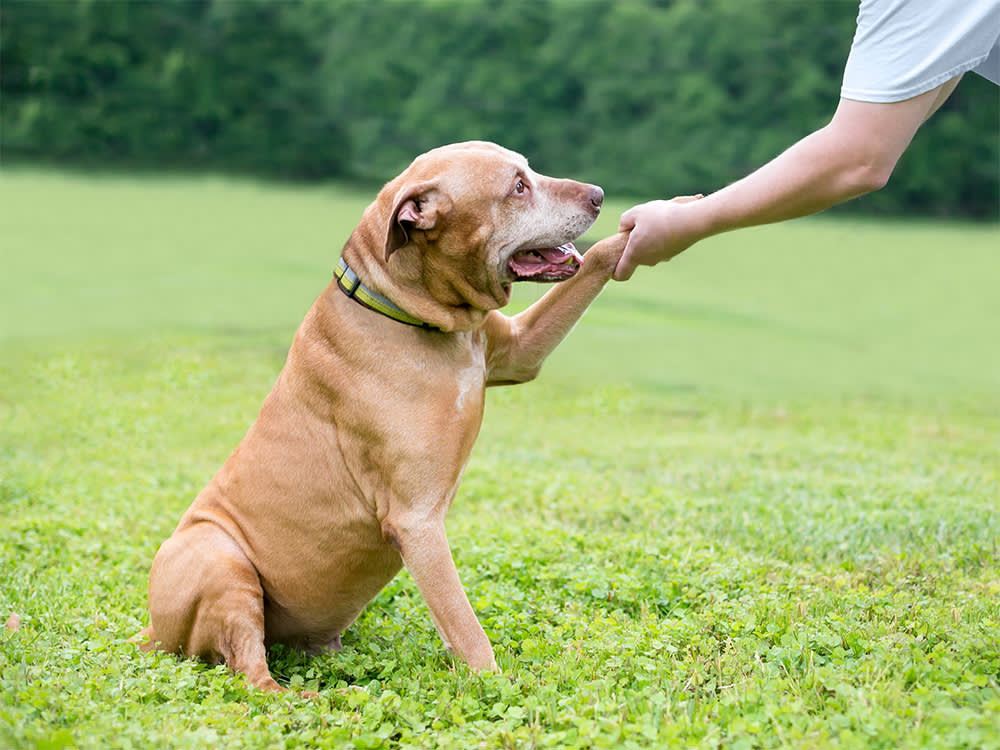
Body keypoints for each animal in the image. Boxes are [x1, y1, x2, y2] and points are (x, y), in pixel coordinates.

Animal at [137, 141, 628, 692]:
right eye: (517, 187)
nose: (599, 194)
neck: (408, 312)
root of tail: (153, 631)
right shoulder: (417, 522)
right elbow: (466, 628)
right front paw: (498, 687)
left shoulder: (521, 350)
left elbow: (593, 264)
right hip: (219, 557)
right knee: (254, 674)